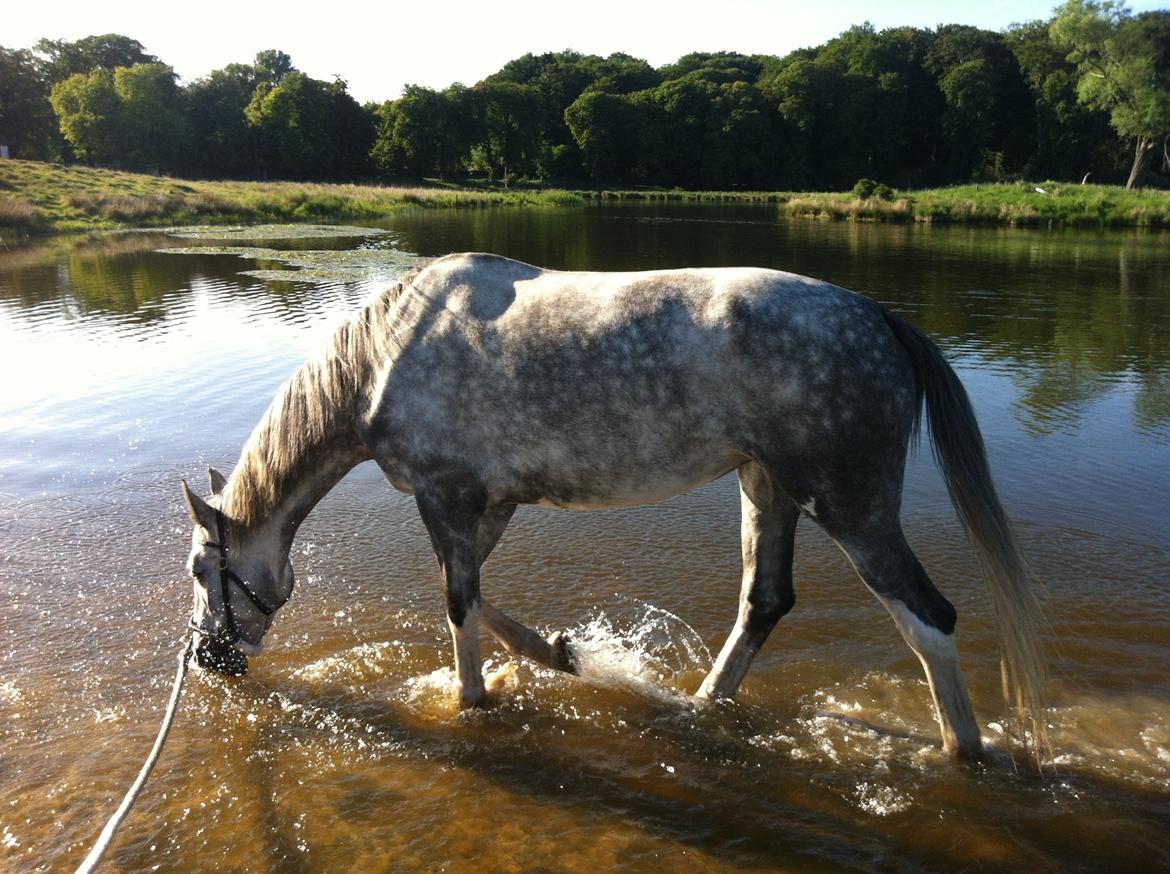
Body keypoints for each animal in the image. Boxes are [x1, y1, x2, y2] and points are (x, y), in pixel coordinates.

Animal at [184, 251, 1053, 758]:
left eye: (201, 569)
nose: (207, 658)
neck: (386, 355)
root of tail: (881, 319)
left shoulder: (446, 497)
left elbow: (459, 605)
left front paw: (470, 699)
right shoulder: (490, 504)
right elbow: (482, 599)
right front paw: (559, 654)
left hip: (847, 503)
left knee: (927, 618)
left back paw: (964, 751)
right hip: (765, 486)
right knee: (764, 601)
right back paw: (700, 704)